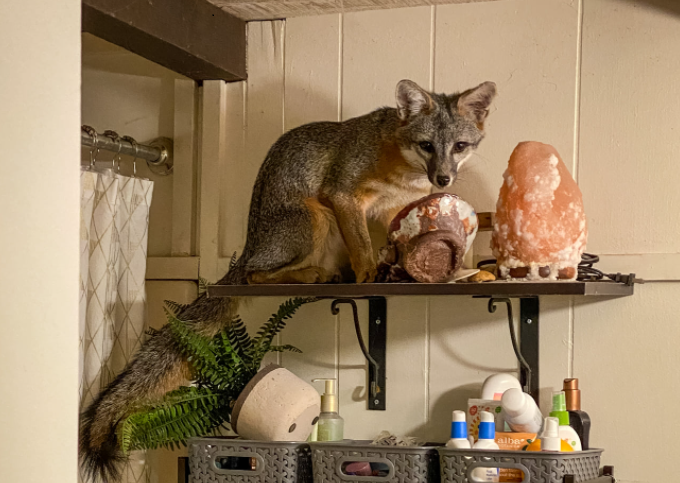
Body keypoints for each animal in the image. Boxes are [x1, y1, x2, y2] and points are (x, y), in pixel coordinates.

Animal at [79, 78, 496, 480]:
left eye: (459, 146)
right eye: (426, 145)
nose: (443, 177)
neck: (397, 166)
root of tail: (250, 244)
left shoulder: (392, 208)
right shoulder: (341, 195)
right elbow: (361, 244)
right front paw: (367, 274)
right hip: (312, 218)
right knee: (253, 275)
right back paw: (316, 273)